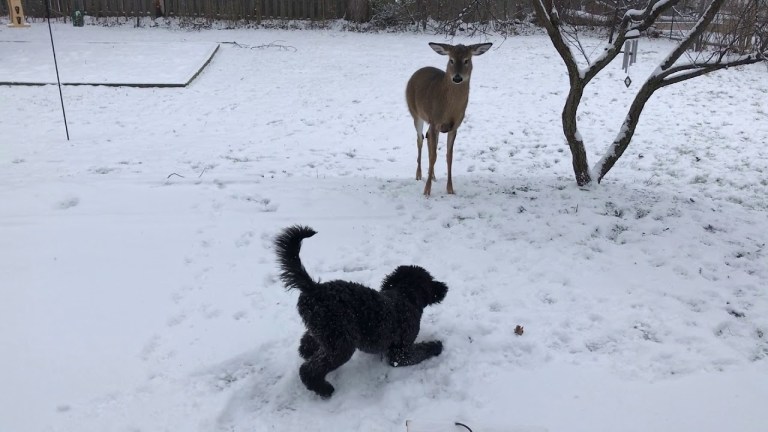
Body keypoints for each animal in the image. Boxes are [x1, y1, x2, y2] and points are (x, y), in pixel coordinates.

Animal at [276, 226, 448, 398]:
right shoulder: (400, 352)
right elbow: (421, 350)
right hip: (341, 343)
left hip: (325, 332)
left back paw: (308, 353)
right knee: (308, 370)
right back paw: (324, 389)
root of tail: (314, 288)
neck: (405, 295)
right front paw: (436, 346)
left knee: (306, 343)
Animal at [408, 41, 492, 195]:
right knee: (420, 139)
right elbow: (434, 156)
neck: (448, 108)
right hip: (415, 113)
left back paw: (433, 175)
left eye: (466, 60)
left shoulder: (454, 126)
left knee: (427, 137)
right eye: (451, 60)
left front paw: (450, 189)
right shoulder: (435, 121)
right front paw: (427, 191)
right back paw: (419, 174)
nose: (457, 78)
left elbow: (449, 156)